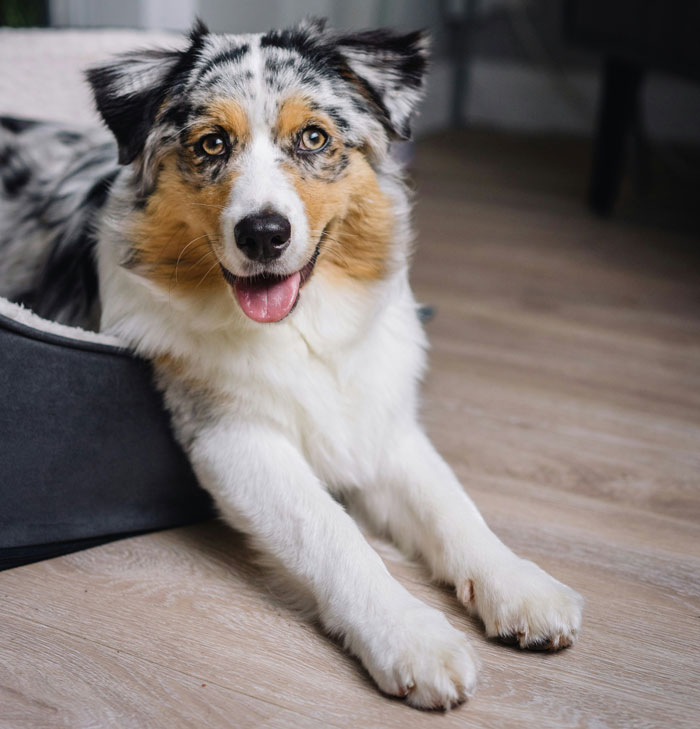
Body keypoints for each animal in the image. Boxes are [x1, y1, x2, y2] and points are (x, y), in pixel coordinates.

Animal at [0, 19, 580, 708]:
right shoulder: (232, 435)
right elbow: (332, 532)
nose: (263, 234)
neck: (299, 330)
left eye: (313, 138)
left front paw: (519, 584)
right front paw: (411, 636)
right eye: (212, 143)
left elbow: (452, 506)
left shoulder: (379, 423)